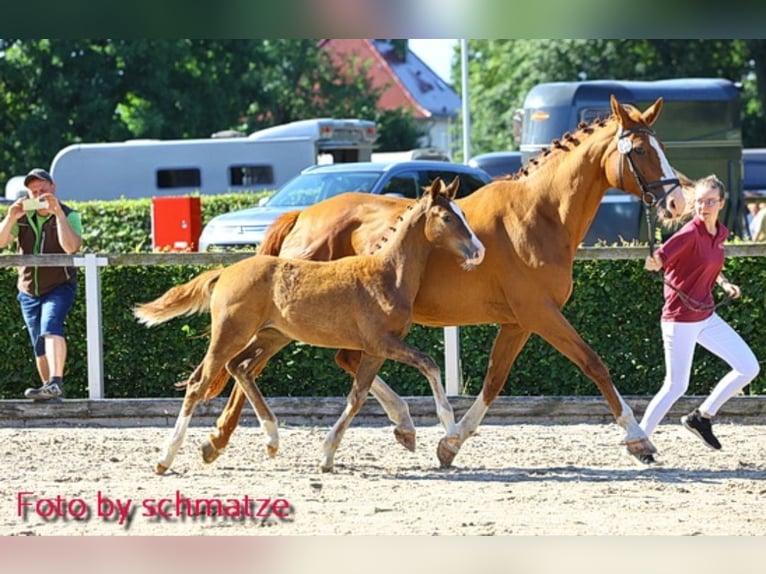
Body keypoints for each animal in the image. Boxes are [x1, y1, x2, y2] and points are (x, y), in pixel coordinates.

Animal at [134, 178, 485, 473]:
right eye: (447, 217)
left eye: (462, 214)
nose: (479, 250)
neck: (386, 274)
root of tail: (225, 273)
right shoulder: (383, 343)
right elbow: (428, 364)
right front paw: (449, 431)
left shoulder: (374, 351)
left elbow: (357, 397)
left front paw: (329, 455)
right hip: (231, 334)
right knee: (199, 383)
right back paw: (166, 458)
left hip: (271, 336)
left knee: (240, 368)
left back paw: (270, 439)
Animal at [197, 94, 693, 469]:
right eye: (641, 151)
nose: (676, 202)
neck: (540, 215)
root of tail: (304, 213)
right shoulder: (540, 313)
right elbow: (594, 363)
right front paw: (639, 439)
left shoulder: (518, 322)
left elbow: (493, 380)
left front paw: (450, 441)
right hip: (285, 323)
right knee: (246, 364)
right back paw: (220, 439)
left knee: (327, 360)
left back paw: (401, 424)